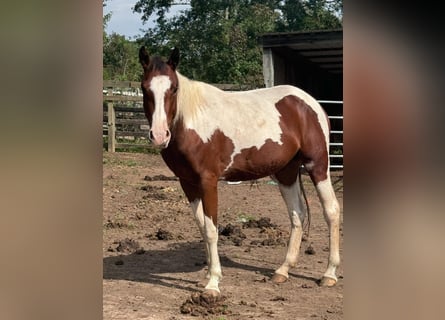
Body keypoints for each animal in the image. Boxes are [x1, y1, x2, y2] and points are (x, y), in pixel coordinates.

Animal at [139, 46, 340, 298]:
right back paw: (283, 270)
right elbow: (202, 227)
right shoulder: (188, 183)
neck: (192, 122)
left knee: (331, 211)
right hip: (286, 172)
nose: (159, 135)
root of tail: (311, 103)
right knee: (297, 214)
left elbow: (212, 230)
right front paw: (208, 274)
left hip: (318, 165)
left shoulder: (208, 181)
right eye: (144, 88)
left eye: (174, 88)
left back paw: (329, 274)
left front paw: (213, 284)